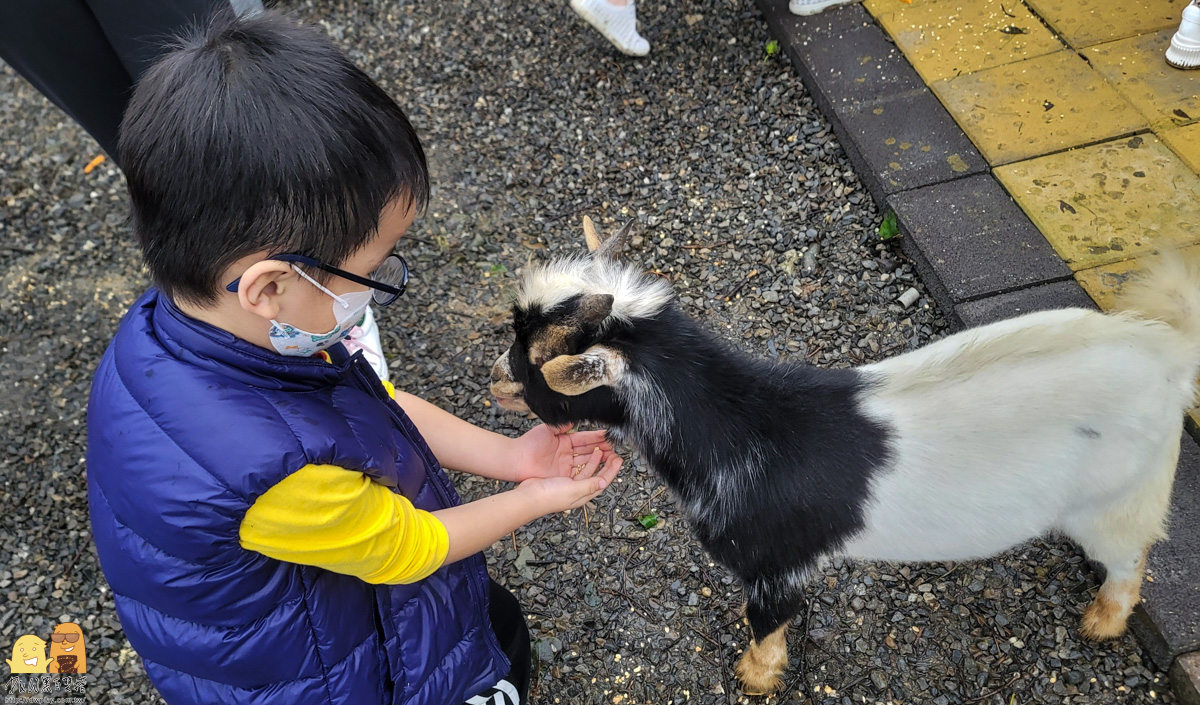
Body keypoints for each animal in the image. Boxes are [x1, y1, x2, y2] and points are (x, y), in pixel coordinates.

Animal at [489, 215, 1200, 695]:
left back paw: (1102, 621)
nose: (495, 380)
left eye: (530, 362)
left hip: (1117, 498)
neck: (739, 427)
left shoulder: (772, 562)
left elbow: (767, 620)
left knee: (1131, 558)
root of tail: (1164, 352)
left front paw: (755, 676)